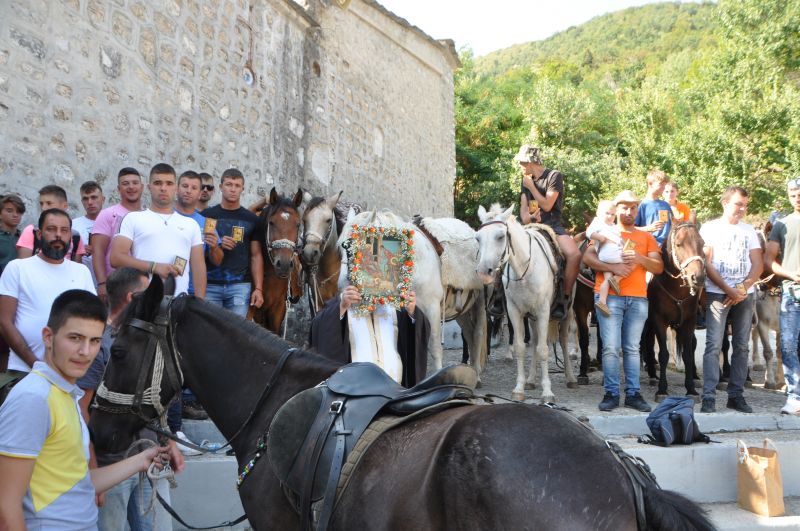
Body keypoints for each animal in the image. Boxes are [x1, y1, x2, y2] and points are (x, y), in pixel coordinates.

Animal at [336, 210, 488, 380]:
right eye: (343, 246)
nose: (343, 285)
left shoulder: (432, 308)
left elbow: (434, 346)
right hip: (462, 312)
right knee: (468, 333)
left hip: (479, 303)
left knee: (477, 334)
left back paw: (477, 372)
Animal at [476, 205, 576, 404]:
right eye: (478, 237)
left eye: (501, 236)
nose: (484, 272)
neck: (524, 269)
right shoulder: (515, 312)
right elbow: (521, 347)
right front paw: (519, 388)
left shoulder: (544, 311)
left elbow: (544, 350)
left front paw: (547, 393)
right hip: (532, 318)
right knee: (536, 340)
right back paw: (531, 380)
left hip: (566, 313)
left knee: (562, 341)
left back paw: (570, 378)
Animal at [640, 222, 704, 402]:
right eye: (679, 244)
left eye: (702, 243)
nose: (697, 277)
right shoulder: (659, 321)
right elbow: (663, 354)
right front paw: (662, 390)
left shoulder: (689, 322)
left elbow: (688, 354)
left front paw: (691, 390)